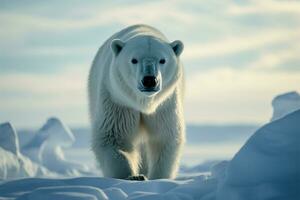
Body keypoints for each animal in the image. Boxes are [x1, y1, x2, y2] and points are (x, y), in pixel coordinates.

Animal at [88, 23, 184, 180]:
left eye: (162, 60)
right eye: (134, 60)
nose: (149, 80)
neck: (143, 103)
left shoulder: (164, 105)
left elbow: (164, 137)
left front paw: (158, 177)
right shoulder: (118, 101)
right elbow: (112, 137)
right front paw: (132, 177)